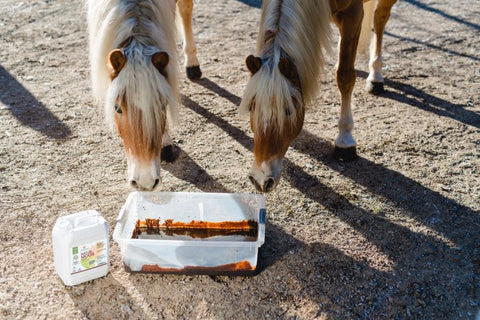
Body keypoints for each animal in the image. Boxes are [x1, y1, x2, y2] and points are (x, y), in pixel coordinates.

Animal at [242, 0, 396, 192]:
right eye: (251, 107)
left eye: (288, 111)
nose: (261, 180)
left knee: (380, 18)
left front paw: (345, 140)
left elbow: (345, 76)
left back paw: (376, 76)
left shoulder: (352, 15)